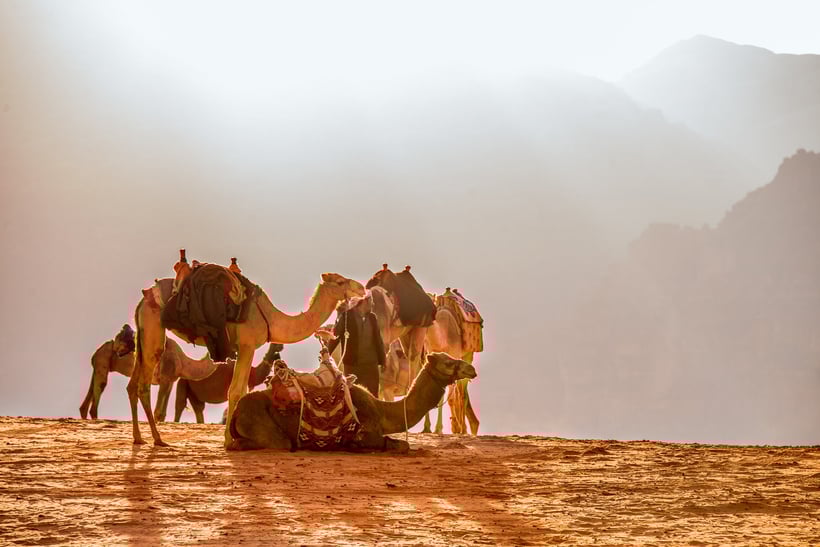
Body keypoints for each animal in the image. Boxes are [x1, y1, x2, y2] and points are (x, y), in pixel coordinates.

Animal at [80, 327, 218, 421]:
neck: (183, 362)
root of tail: (97, 351)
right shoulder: (165, 378)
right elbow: (158, 412)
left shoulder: (171, 381)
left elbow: (163, 414)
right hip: (102, 363)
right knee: (100, 388)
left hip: (98, 366)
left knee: (87, 400)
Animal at [129, 270, 365, 447]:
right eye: (340, 281)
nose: (361, 288)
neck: (270, 318)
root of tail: (142, 300)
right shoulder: (247, 346)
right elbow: (235, 390)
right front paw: (228, 441)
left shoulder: (246, 349)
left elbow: (240, 391)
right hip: (154, 330)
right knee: (143, 385)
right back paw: (157, 439)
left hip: (143, 335)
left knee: (132, 384)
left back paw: (139, 438)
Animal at [228, 351, 477, 451]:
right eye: (447, 362)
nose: (471, 369)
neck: (381, 411)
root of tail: (237, 412)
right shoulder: (366, 432)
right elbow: (400, 445)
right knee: (278, 443)